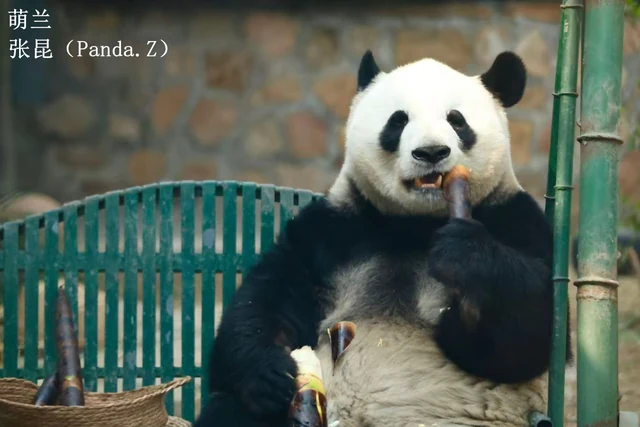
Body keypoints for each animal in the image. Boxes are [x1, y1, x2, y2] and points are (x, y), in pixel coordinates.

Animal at [195, 50, 572, 427]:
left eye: (457, 120)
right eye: (398, 121)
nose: (431, 152)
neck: (414, 224)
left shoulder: (516, 219)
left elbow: (525, 337)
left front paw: (466, 260)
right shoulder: (333, 231)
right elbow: (269, 296)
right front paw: (270, 372)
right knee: (231, 409)